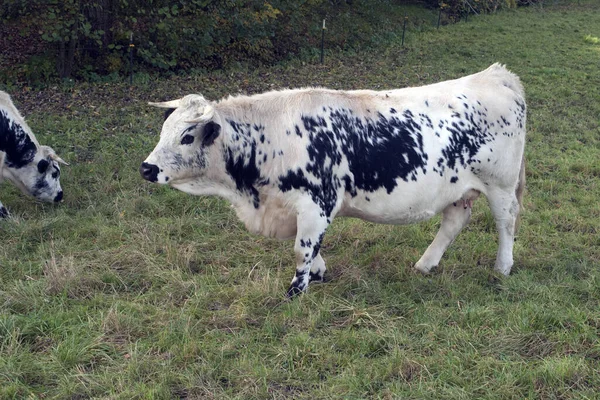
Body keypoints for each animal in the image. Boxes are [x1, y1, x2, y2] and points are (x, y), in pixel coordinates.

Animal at [141, 64, 524, 296]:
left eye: (186, 136)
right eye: (164, 130)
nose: (146, 168)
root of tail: (496, 75)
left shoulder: (316, 202)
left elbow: (302, 247)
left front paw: (297, 290)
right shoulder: (291, 208)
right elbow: (309, 246)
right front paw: (318, 272)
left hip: (501, 185)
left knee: (506, 222)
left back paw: (503, 267)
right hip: (458, 188)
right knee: (454, 221)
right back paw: (424, 264)